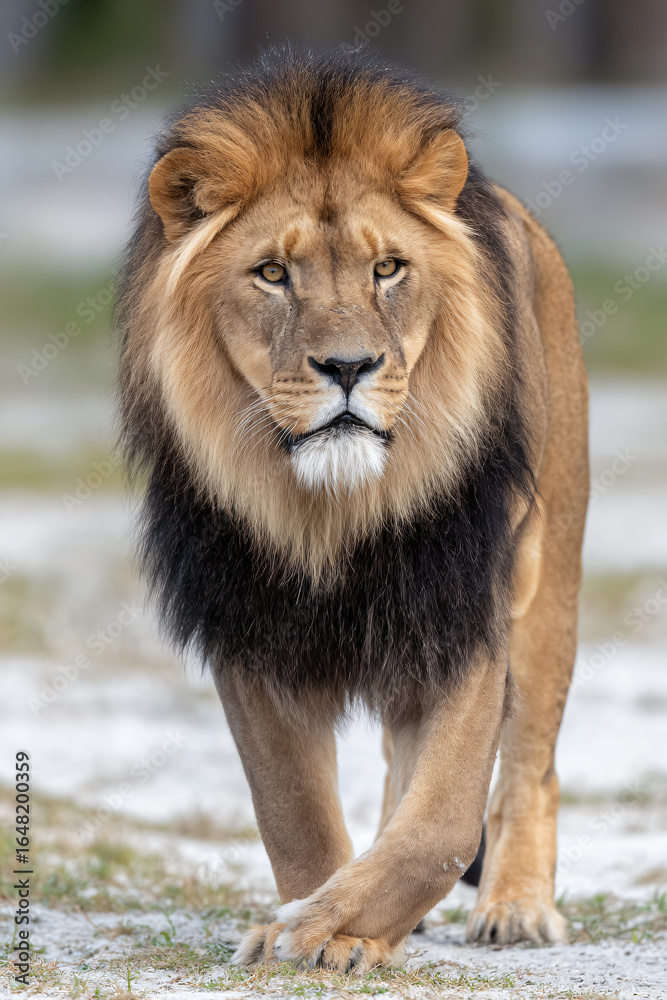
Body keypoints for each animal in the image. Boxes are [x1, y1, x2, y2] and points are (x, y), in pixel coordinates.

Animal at [118, 46, 588, 972]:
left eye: (387, 269)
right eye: (272, 273)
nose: (347, 366)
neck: (334, 509)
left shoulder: (463, 606)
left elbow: (442, 825)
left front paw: (325, 926)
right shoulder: (250, 627)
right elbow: (292, 809)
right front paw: (312, 922)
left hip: (545, 587)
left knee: (528, 767)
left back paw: (516, 907)